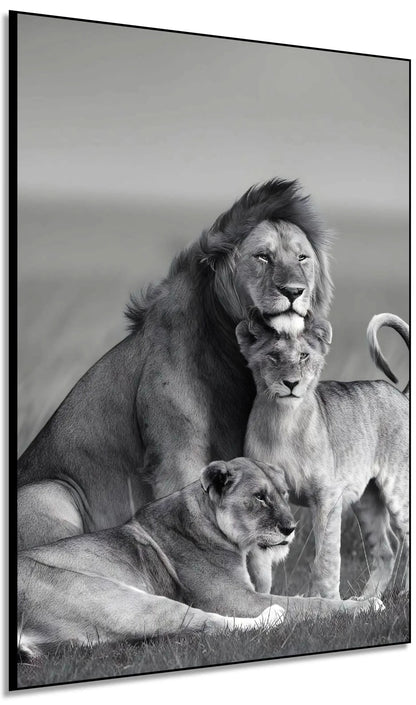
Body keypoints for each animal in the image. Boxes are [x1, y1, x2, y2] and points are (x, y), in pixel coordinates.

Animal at [17, 178, 333, 550]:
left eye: (302, 258)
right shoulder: (177, 459)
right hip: (49, 492)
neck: (231, 351)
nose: (294, 291)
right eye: (263, 256)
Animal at [18, 458, 383, 657]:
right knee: (210, 623)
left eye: (283, 494)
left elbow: (307, 598)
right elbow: (310, 605)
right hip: (115, 597)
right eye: (259, 497)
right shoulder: (235, 598)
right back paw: (273, 616)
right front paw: (363, 605)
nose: (290, 528)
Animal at [236, 311, 409, 599]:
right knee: (387, 549)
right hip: (367, 499)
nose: (291, 383)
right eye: (274, 356)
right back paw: (367, 600)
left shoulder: (327, 497)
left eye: (304, 356)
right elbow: (260, 568)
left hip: (398, 487)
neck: (283, 421)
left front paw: (329, 602)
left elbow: (326, 560)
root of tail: (401, 394)